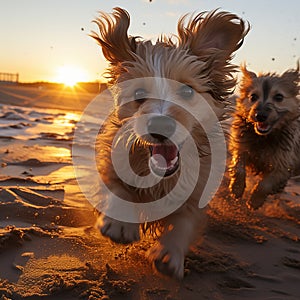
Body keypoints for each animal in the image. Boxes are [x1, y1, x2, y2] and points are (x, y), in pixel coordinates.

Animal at [91, 7, 248, 278]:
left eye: (186, 91)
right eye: (138, 94)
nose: (161, 125)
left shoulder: (198, 193)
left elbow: (185, 220)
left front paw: (169, 251)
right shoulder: (111, 159)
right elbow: (117, 187)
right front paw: (120, 223)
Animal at [229, 63, 298, 209]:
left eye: (279, 97)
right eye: (253, 97)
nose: (260, 115)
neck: (263, 137)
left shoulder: (284, 162)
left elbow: (266, 183)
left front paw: (255, 200)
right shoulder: (242, 145)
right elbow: (238, 167)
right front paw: (236, 188)